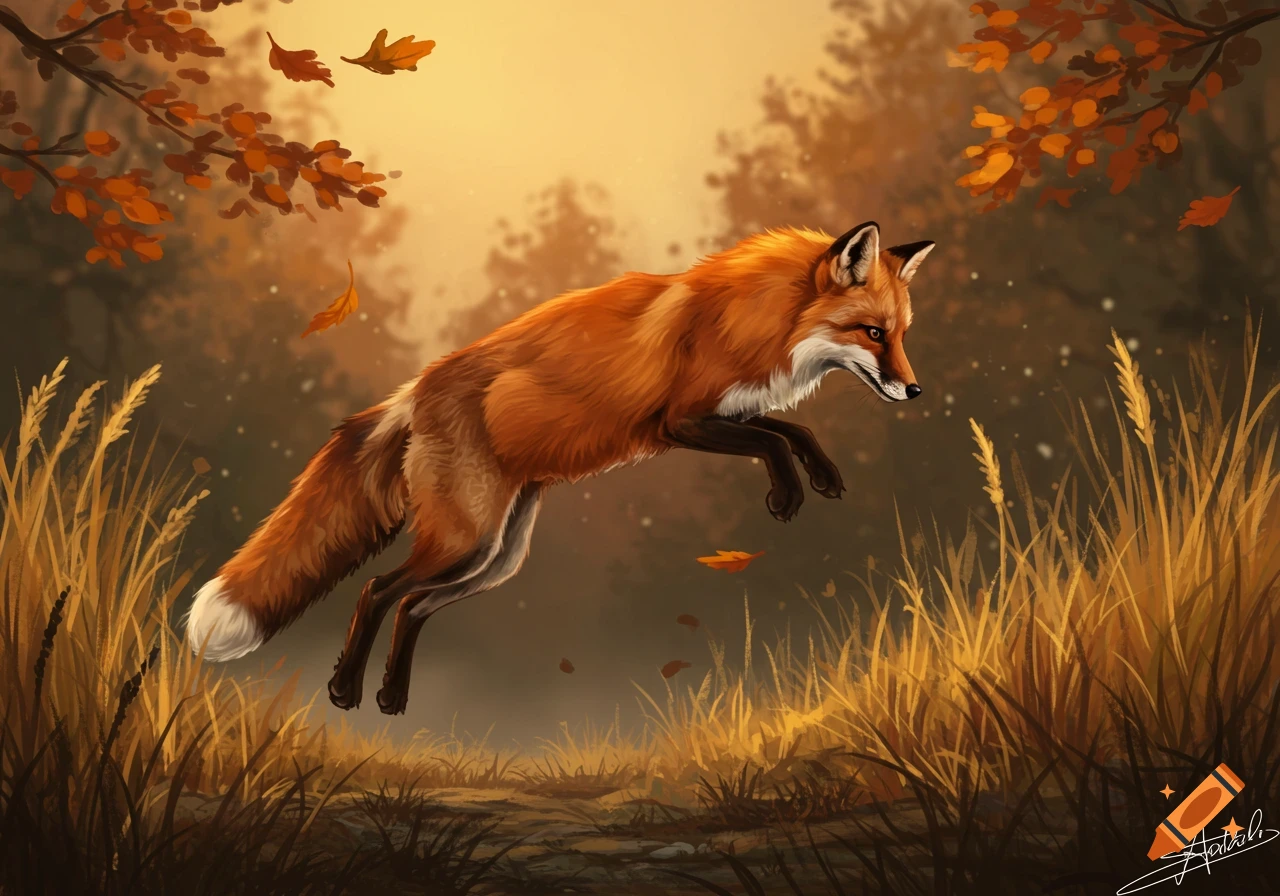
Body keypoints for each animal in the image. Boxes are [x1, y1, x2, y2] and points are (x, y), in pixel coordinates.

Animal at [183, 221, 933, 714]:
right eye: (872, 333)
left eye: (901, 334)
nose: (914, 391)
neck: (758, 316)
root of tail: (418, 387)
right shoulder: (679, 421)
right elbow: (775, 439)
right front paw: (787, 494)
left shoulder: (731, 409)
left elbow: (790, 426)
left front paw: (824, 476)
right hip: (465, 540)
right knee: (376, 589)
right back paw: (343, 690)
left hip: (497, 556)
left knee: (414, 605)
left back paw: (392, 696)